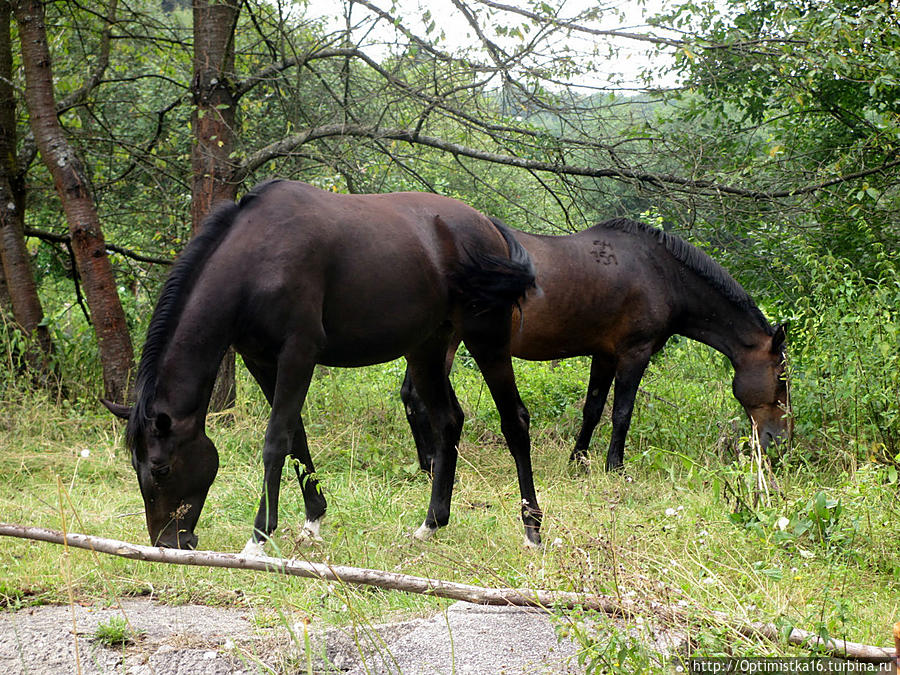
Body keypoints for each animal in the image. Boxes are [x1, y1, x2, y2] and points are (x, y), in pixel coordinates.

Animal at [102, 181, 544, 556]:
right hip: (427, 349)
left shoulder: (299, 353)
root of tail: (486, 224)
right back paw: (430, 524)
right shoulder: (261, 360)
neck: (257, 260)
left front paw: (258, 539)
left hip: (486, 339)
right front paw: (312, 520)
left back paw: (532, 531)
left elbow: (276, 441)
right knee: (448, 421)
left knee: (514, 421)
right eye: (136, 466)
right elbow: (296, 438)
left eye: (160, 469)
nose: (169, 543)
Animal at [400, 219, 788, 472]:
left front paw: (579, 460)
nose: (780, 441)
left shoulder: (604, 355)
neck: (662, 275)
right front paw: (614, 466)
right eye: (781, 379)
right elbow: (622, 412)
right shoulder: (635, 353)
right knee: (418, 397)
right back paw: (432, 464)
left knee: (411, 395)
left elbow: (593, 408)